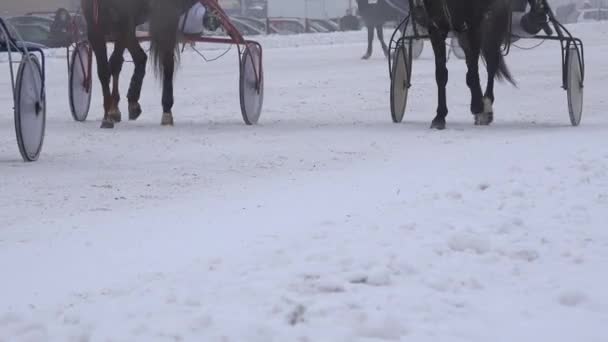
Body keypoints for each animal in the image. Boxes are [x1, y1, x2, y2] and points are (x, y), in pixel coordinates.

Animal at [82, 0, 196, 128]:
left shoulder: (124, 24)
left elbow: (117, 63)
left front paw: (111, 113)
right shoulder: (95, 28)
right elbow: (104, 71)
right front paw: (109, 113)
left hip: (166, 18)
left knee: (167, 62)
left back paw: (166, 111)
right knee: (139, 58)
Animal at [420, 0, 516, 129]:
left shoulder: (472, 24)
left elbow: (472, 71)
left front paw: (478, 105)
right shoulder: (436, 26)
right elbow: (441, 74)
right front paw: (440, 116)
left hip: (495, 15)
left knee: (491, 62)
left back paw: (486, 104)